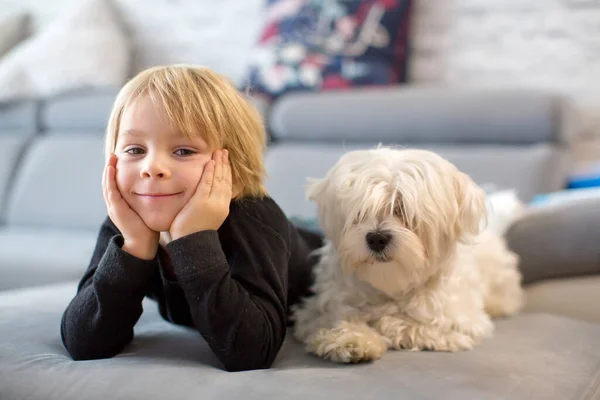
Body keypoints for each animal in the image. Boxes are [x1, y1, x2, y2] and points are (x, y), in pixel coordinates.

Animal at [292, 146, 524, 362]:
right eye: (360, 212)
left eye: (402, 209)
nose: (376, 238)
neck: (392, 284)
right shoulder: (315, 310)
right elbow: (337, 317)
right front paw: (350, 338)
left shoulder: (460, 324)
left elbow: (403, 324)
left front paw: (378, 324)